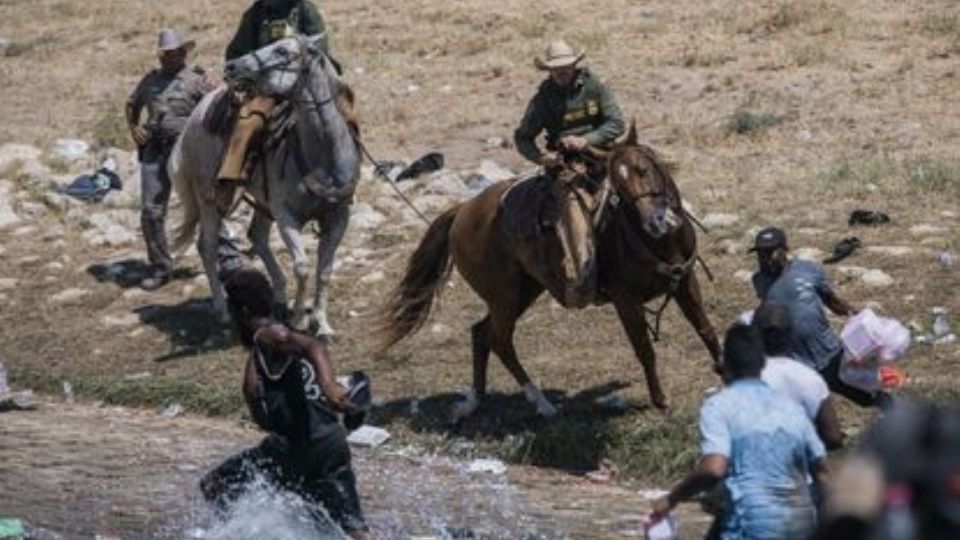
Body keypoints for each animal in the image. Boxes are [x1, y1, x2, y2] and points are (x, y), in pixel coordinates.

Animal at [170, 35, 360, 334]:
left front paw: (322, 324)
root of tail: (194, 118)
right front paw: (299, 319)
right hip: (209, 200)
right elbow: (303, 267)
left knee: (256, 236)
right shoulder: (287, 216)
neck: (324, 156)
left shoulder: (338, 217)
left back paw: (279, 297)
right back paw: (222, 310)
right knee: (207, 247)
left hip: (262, 201)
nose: (232, 67)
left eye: (282, 50)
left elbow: (325, 271)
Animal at [378, 127, 716, 422]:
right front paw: (660, 400)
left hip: (524, 291)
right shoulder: (626, 301)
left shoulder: (685, 282)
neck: (655, 242)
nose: (656, 222)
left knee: (481, 333)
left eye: (644, 169)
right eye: (617, 186)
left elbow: (706, 330)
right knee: (499, 340)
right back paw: (541, 404)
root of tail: (461, 211)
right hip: (504, 296)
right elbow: (644, 349)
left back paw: (475, 400)